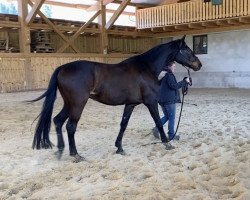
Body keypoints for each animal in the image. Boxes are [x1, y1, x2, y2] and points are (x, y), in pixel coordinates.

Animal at [30, 35, 201, 162]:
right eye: (186, 50)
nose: (199, 65)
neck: (146, 67)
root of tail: (62, 68)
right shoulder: (150, 102)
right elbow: (158, 122)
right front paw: (167, 143)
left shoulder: (130, 104)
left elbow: (123, 125)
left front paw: (119, 147)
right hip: (78, 104)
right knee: (70, 126)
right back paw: (76, 154)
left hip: (69, 104)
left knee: (58, 121)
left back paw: (60, 151)